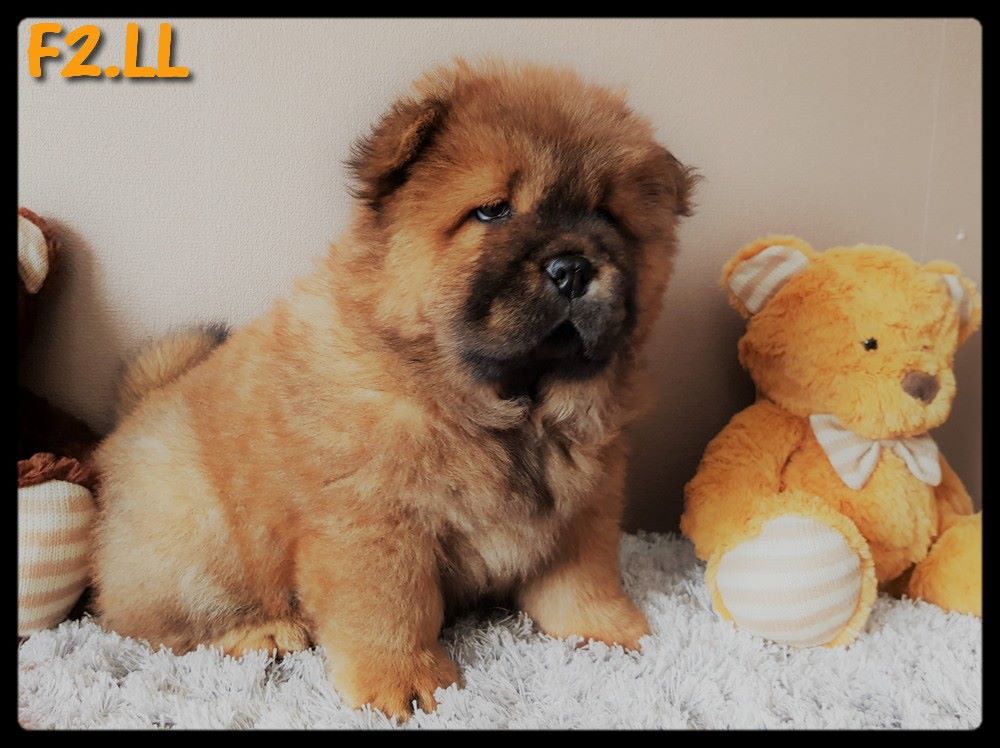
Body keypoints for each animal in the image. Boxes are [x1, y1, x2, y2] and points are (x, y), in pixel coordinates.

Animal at [91, 59, 696, 719]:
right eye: (492, 212)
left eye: (609, 216)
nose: (573, 268)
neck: (500, 405)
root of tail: (136, 412)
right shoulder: (376, 518)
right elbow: (392, 609)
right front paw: (405, 684)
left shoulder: (583, 502)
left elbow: (584, 580)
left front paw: (609, 632)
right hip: (202, 537)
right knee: (152, 621)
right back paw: (263, 632)